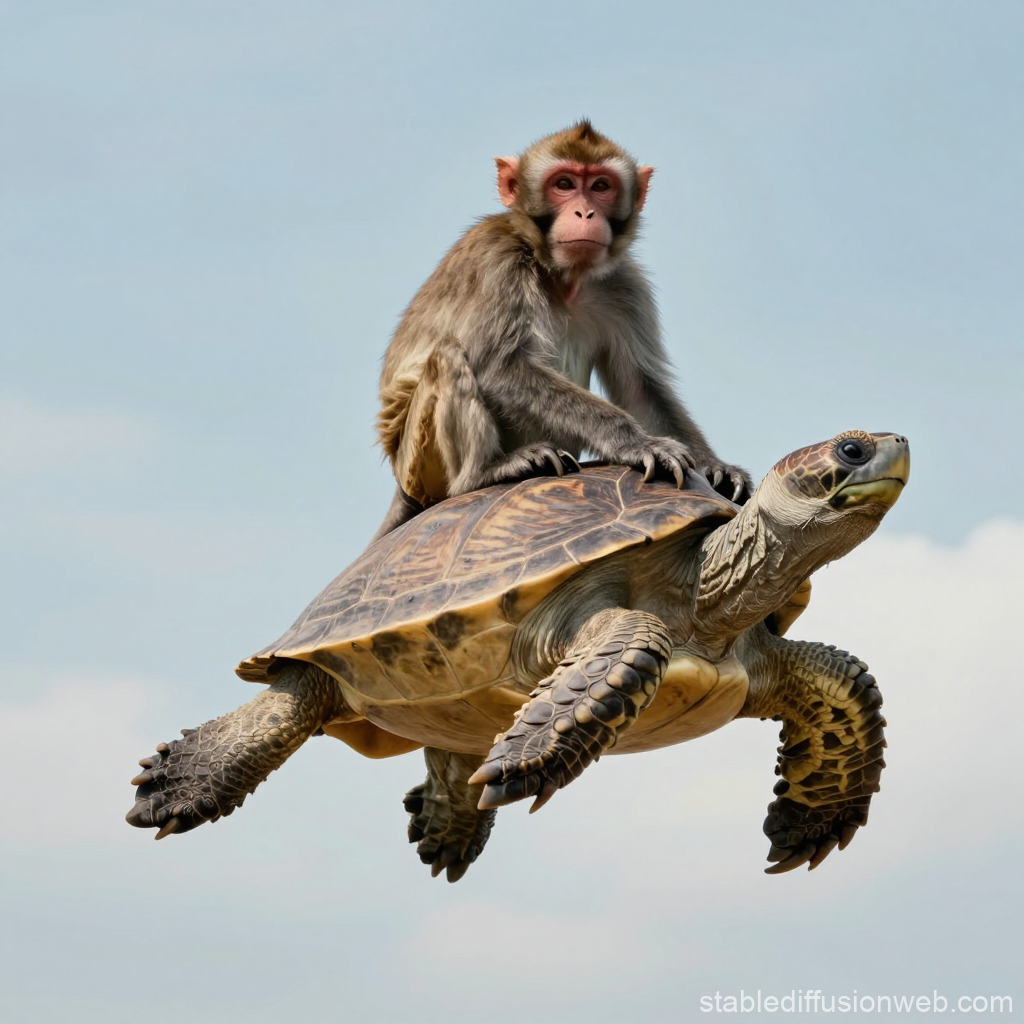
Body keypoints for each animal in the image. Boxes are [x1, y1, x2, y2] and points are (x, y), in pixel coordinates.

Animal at [374, 121, 750, 538]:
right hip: (417, 460)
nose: (584, 212)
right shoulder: (498, 261)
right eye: (564, 183)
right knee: (449, 355)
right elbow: (498, 367)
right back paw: (483, 474)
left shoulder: (625, 284)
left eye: (601, 186)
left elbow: (639, 387)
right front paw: (635, 442)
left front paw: (715, 467)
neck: (562, 276)